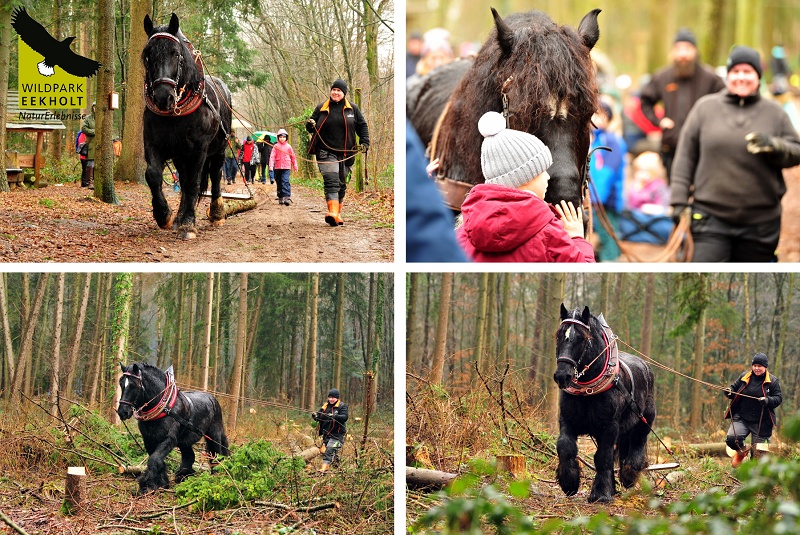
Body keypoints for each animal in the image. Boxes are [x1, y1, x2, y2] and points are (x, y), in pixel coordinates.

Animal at [119, 362, 231, 496]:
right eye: (121, 383)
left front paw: (147, 485)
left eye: (133, 385)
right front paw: (161, 483)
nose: (122, 412)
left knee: (216, 453)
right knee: (189, 456)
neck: (165, 407)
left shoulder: (170, 439)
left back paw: (216, 474)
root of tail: (212, 398)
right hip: (185, 441)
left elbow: (154, 459)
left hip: (214, 434)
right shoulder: (149, 440)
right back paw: (183, 476)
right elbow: (157, 459)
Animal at [141, 13, 231, 240]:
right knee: (182, 178)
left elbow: (193, 183)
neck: (175, 116)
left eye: (175, 53)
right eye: (147, 55)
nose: (163, 97)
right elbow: (153, 175)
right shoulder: (153, 144)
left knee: (215, 174)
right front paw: (164, 215)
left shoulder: (199, 150)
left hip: (219, 149)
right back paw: (179, 217)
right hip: (180, 155)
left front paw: (189, 224)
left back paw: (216, 213)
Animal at [552, 306, 656, 502]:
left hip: (644, 419)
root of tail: (646, 366)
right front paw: (569, 482)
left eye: (582, 338)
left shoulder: (610, 427)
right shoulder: (567, 420)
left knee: (638, 442)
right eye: (559, 335)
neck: (587, 391)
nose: (562, 375)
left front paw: (601, 493)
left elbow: (603, 457)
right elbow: (565, 446)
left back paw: (629, 475)